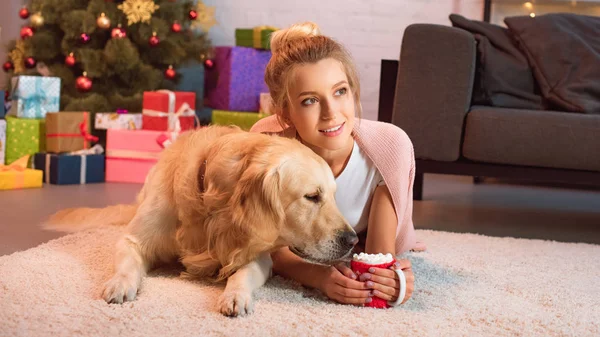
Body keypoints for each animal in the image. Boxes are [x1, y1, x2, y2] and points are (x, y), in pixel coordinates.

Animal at [45, 125, 360, 316]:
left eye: (333, 195)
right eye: (312, 196)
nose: (352, 240)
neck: (212, 207)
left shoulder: (257, 254)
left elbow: (241, 274)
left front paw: (235, 296)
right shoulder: (131, 239)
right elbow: (127, 263)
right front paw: (120, 284)